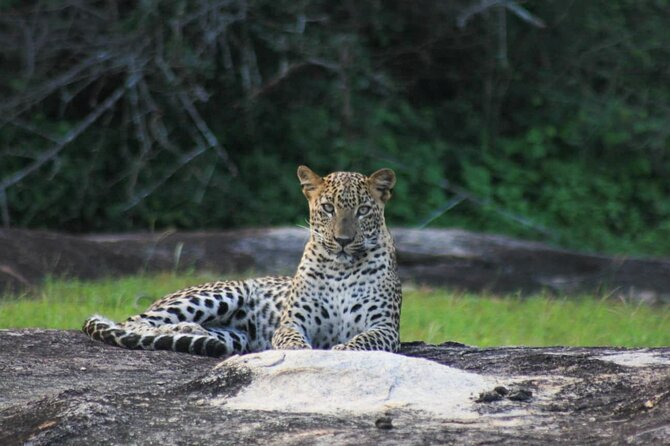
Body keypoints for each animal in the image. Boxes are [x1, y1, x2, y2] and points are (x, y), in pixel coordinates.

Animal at [81, 166, 402, 358]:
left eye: (363, 210)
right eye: (327, 208)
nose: (343, 240)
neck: (340, 269)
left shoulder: (385, 328)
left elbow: (361, 341)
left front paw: (340, 349)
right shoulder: (293, 321)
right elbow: (289, 339)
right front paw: (299, 352)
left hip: (234, 336)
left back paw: (196, 333)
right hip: (224, 292)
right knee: (134, 323)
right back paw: (178, 330)